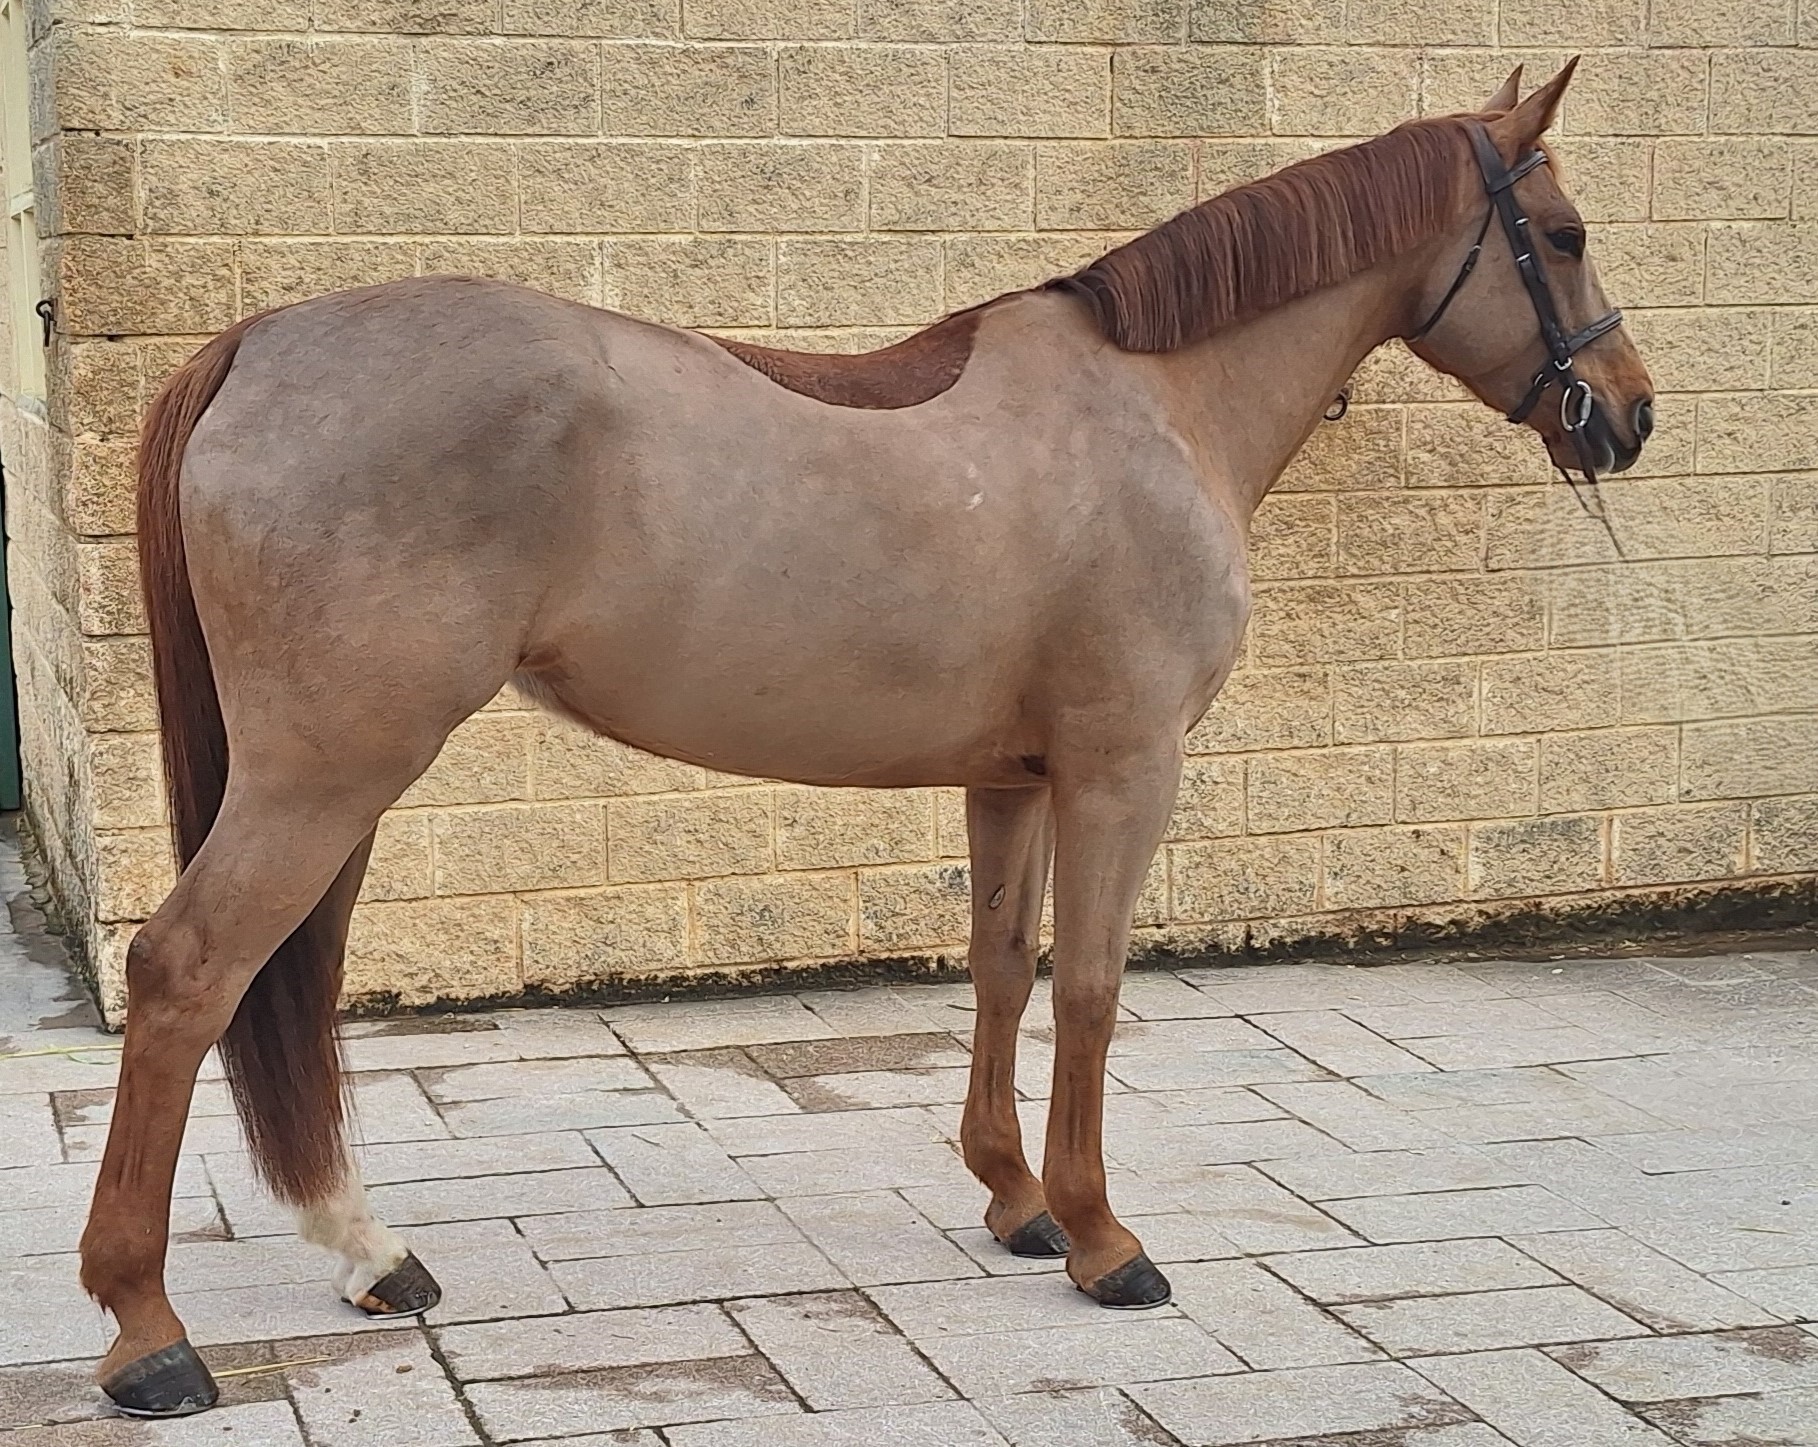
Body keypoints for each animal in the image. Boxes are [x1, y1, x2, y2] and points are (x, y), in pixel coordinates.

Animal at [80, 59, 1653, 1415]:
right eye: (1563, 234)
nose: (1628, 416)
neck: (1156, 403)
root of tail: (258, 341)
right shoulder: (1123, 770)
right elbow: (1092, 989)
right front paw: (1103, 1238)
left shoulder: (1012, 779)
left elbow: (1003, 968)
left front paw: (1016, 1201)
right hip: (326, 772)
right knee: (188, 973)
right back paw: (149, 1333)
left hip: (335, 779)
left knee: (283, 982)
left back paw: (368, 1255)